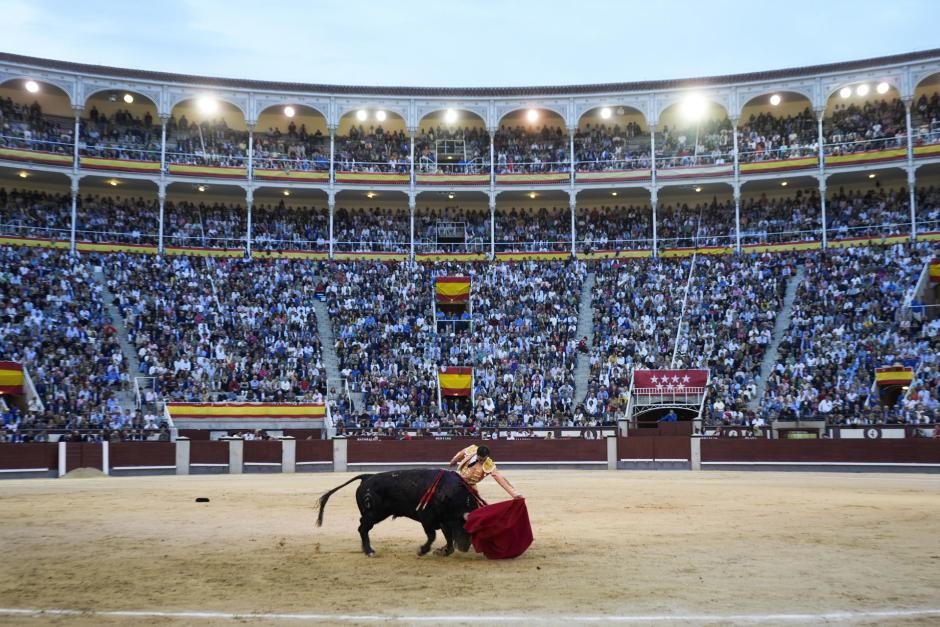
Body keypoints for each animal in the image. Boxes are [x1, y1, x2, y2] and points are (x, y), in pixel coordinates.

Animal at [316, 468, 482, 556]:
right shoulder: (427, 519)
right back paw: (369, 551)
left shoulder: (443, 521)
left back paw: (365, 549)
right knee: (362, 528)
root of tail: (367, 476)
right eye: (464, 526)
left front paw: (445, 551)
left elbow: (447, 536)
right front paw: (422, 550)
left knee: (362, 528)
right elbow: (432, 536)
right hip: (374, 514)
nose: (464, 548)